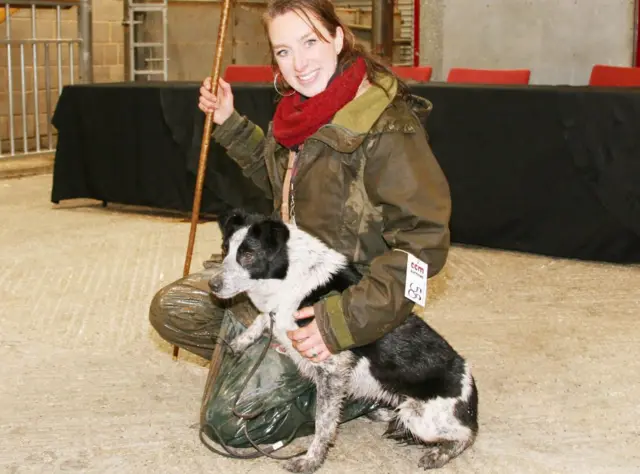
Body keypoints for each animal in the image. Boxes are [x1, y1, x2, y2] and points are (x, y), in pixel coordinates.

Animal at [208, 212, 478, 474]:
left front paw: (310, 461)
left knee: (466, 435)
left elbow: (323, 425)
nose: (212, 285)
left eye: (248, 255)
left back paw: (438, 454)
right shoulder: (278, 315)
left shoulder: (331, 370)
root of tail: (470, 389)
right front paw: (240, 341)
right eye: (225, 249)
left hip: (420, 417)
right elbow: (262, 318)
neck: (291, 278)